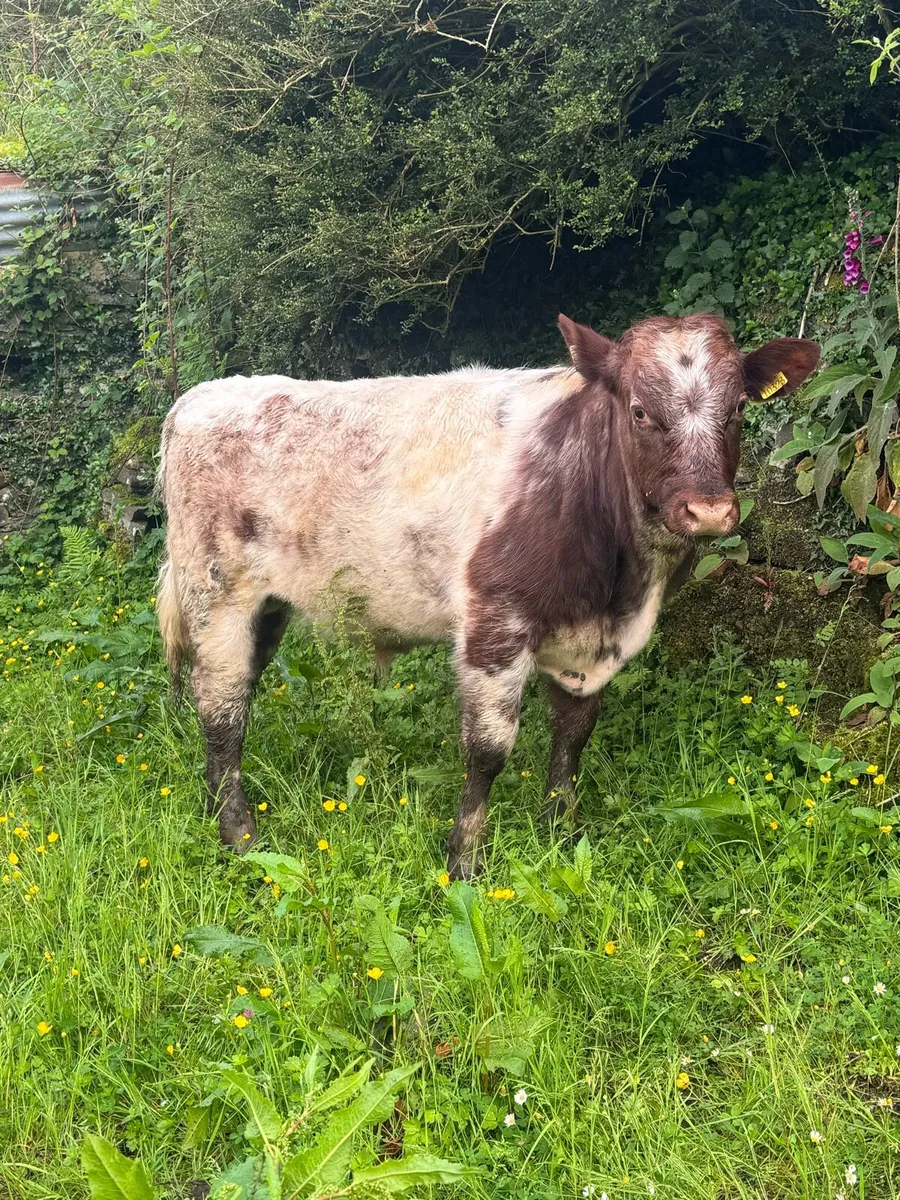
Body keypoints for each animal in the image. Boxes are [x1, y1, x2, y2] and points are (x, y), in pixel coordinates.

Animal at [157, 313, 819, 877]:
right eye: (638, 411)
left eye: (739, 407)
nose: (708, 510)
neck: (620, 586)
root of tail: (200, 396)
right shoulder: (494, 623)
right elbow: (489, 750)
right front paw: (465, 861)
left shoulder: (591, 643)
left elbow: (573, 737)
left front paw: (560, 833)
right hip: (216, 594)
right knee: (221, 710)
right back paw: (239, 835)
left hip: (266, 606)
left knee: (240, 690)